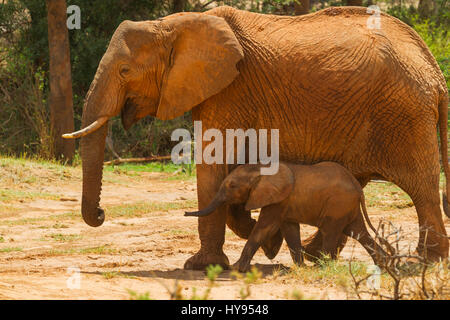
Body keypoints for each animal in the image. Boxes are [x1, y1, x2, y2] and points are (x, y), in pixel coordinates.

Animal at [185, 162, 386, 272]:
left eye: (232, 186)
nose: (186, 213)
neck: (261, 168)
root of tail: (358, 188)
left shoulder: (278, 199)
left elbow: (264, 228)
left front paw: (236, 269)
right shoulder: (284, 203)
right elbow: (290, 230)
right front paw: (301, 268)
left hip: (338, 204)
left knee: (331, 232)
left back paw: (322, 267)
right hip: (346, 205)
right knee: (359, 232)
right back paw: (385, 265)